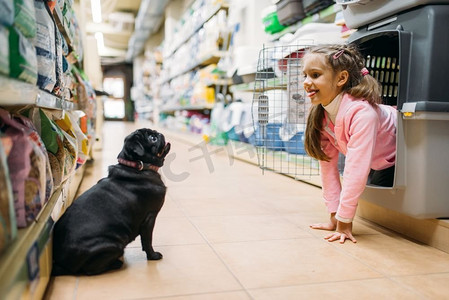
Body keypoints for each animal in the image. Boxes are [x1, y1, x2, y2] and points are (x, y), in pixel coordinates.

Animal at [51, 127, 171, 276]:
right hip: (116, 244)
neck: (136, 167)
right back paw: (116, 263)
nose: (158, 133)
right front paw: (153, 256)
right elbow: (147, 240)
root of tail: (62, 262)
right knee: (90, 270)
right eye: (152, 139)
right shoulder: (150, 217)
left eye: (154, 134)